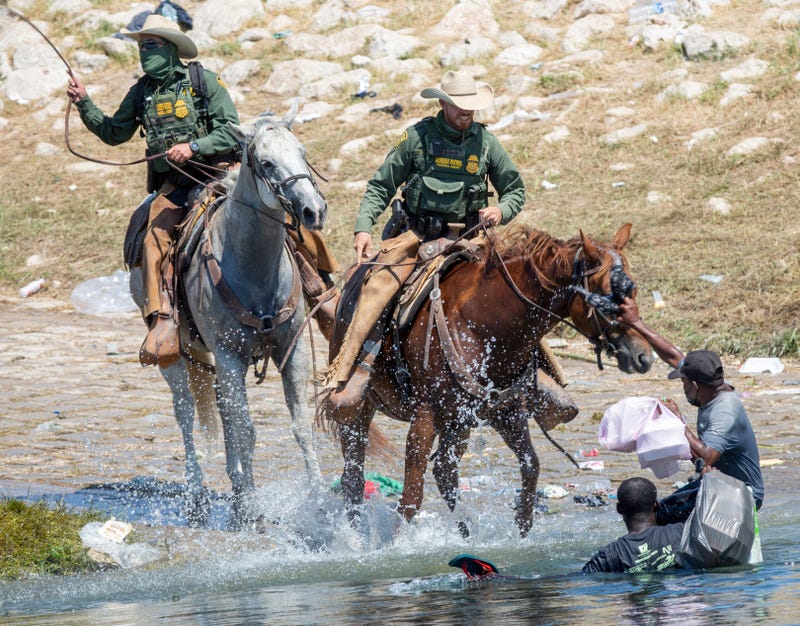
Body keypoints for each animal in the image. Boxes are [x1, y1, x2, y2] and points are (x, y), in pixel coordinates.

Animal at [128, 113, 324, 528]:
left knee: (221, 408)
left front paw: (324, 508)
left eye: (302, 153)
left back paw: (233, 492)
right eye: (266, 163)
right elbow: (245, 430)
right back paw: (198, 498)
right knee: (186, 412)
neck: (253, 267)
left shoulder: (292, 348)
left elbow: (301, 427)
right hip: (178, 354)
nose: (314, 211)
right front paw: (251, 509)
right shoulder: (230, 354)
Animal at [324, 222, 648, 532]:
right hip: (363, 408)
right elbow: (412, 496)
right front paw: (392, 544)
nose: (643, 355)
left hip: (457, 422)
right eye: (607, 297)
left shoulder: (505, 411)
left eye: (633, 291)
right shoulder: (426, 414)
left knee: (444, 472)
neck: (483, 321)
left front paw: (521, 530)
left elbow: (531, 467)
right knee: (354, 477)